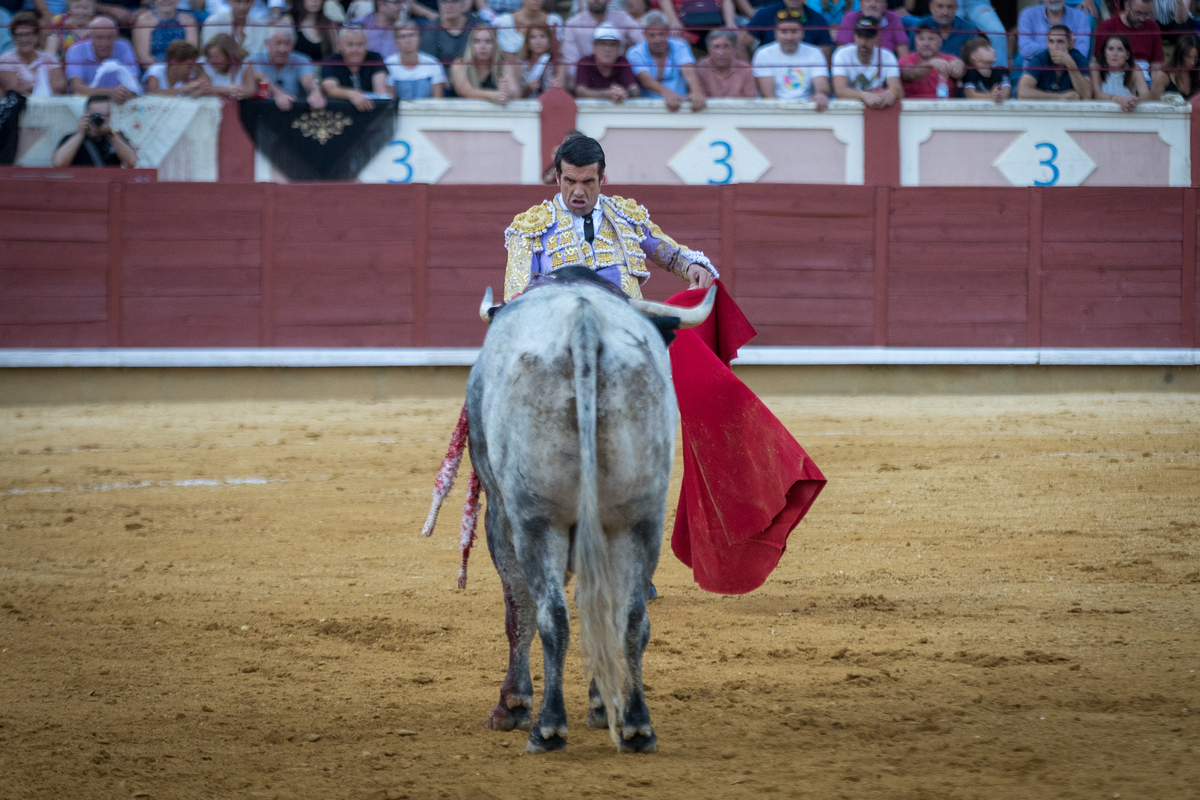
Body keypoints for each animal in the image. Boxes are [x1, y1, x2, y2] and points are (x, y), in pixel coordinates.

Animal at [465, 268, 710, 758]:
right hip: (640, 519)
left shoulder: (500, 515)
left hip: (537, 520)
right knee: (630, 616)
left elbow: (518, 607)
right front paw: (601, 703)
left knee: (551, 615)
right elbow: (601, 606)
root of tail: (584, 321)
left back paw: (547, 727)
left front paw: (512, 705)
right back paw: (635, 724)